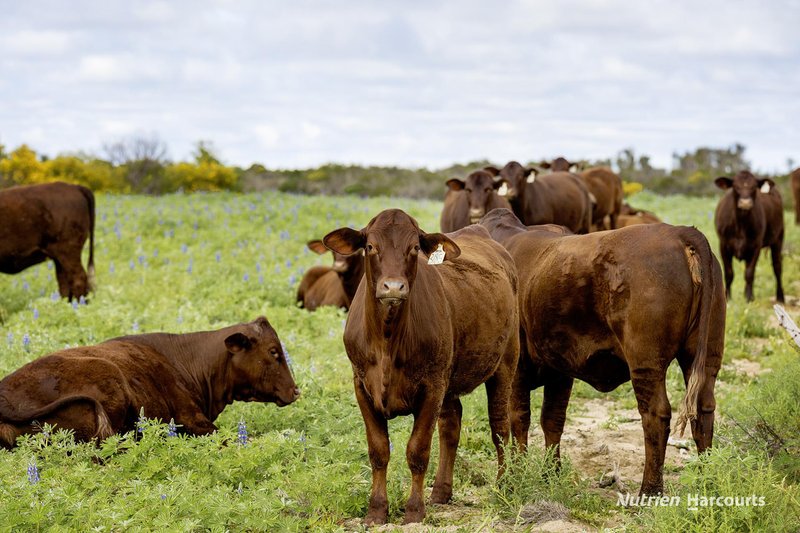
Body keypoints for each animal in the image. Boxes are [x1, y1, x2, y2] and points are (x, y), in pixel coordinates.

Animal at [478, 207, 728, 494]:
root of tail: (680, 232)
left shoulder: (518, 368)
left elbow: (518, 419)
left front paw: (515, 477)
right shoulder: (560, 370)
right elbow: (552, 419)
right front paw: (551, 474)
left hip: (646, 363)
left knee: (656, 415)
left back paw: (649, 490)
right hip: (705, 357)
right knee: (704, 409)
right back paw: (708, 482)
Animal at [716, 171, 784, 302]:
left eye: (754, 187)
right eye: (735, 187)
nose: (745, 203)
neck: (740, 225)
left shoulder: (755, 246)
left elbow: (749, 273)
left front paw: (749, 298)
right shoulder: (723, 245)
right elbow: (729, 273)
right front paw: (728, 297)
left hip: (778, 239)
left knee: (777, 267)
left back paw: (780, 297)